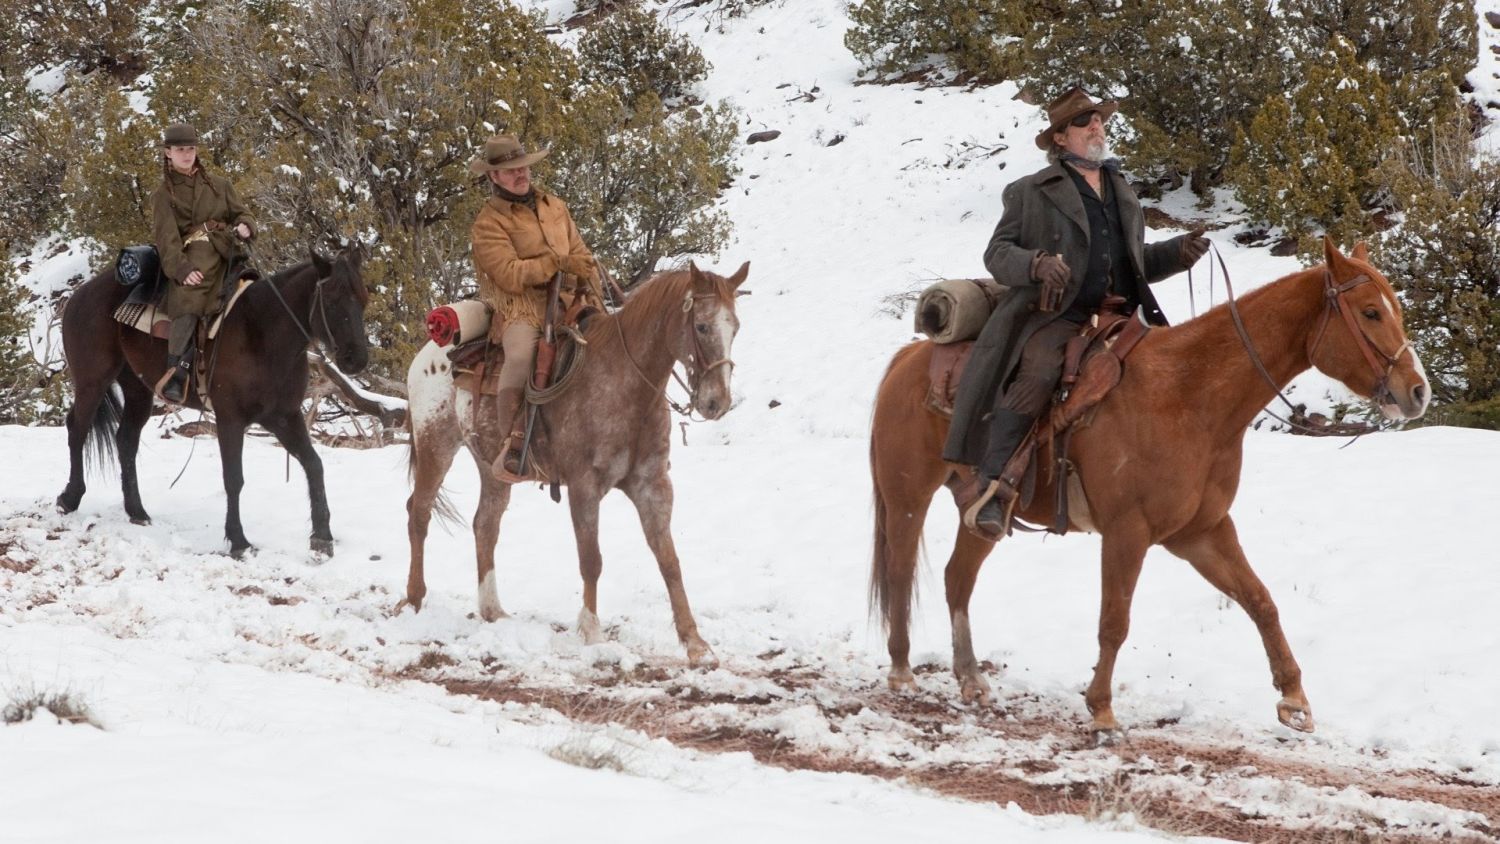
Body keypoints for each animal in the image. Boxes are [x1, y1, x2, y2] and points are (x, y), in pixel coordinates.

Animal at [405, 262, 750, 668]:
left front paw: (695, 642)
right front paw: (592, 633)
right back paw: (413, 599)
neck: (624, 380)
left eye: (735, 327)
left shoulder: (652, 485)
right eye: (702, 326)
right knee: (419, 512)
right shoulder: (584, 487)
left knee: (485, 525)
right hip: (436, 443)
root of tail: (430, 353)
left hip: (492, 467)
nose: (716, 402)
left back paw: (493, 610)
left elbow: (669, 560)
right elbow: (592, 559)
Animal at [870, 241, 1428, 737]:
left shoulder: (1200, 531)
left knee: (957, 579)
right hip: (907, 497)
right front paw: (1101, 711)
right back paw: (901, 670)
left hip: (981, 512)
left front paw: (1294, 699)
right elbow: (1114, 620)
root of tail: (906, 359)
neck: (1189, 395)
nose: (1417, 392)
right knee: (901, 570)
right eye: (1371, 312)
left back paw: (971, 679)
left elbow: (1260, 599)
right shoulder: (1128, 532)